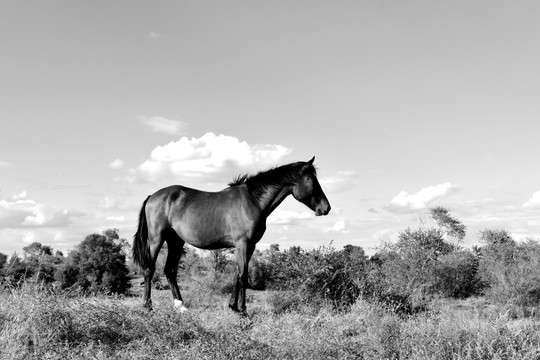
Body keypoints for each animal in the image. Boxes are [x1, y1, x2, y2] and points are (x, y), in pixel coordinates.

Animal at [133, 156, 332, 314]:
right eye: (313, 181)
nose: (326, 208)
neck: (253, 201)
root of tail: (153, 196)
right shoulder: (243, 244)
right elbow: (243, 275)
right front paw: (243, 310)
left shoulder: (249, 246)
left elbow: (237, 274)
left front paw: (233, 307)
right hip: (156, 240)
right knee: (149, 269)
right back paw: (147, 306)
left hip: (176, 241)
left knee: (170, 270)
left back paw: (180, 306)